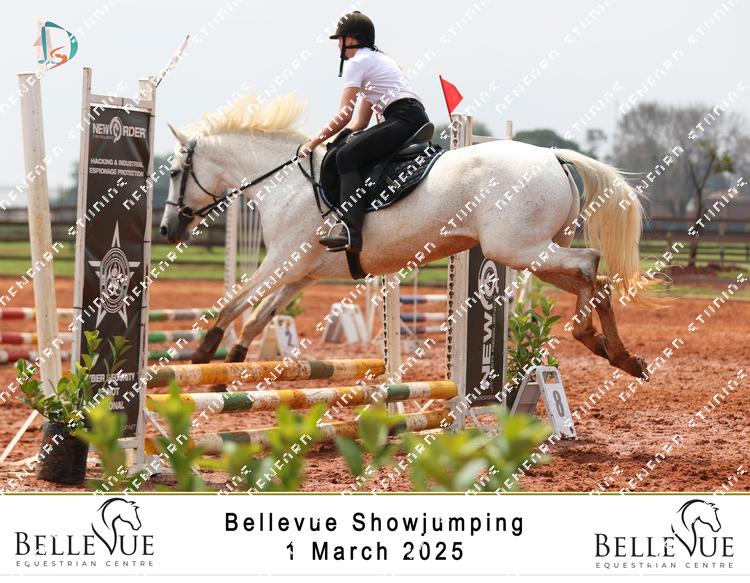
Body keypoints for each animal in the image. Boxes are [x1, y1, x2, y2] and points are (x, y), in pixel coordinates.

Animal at [159, 93, 649, 380]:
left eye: (175, 171)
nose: (167, 228)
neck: (286, 181)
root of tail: (554, 156)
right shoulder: (302, 273)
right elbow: (260, 315)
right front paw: (235, 358)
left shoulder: (280, 261)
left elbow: (234, 302)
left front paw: (203, 353)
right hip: (534, 254)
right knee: (597, 281)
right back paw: (619, 355)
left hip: (518, 248)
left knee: (590, 265)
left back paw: (594, 338)